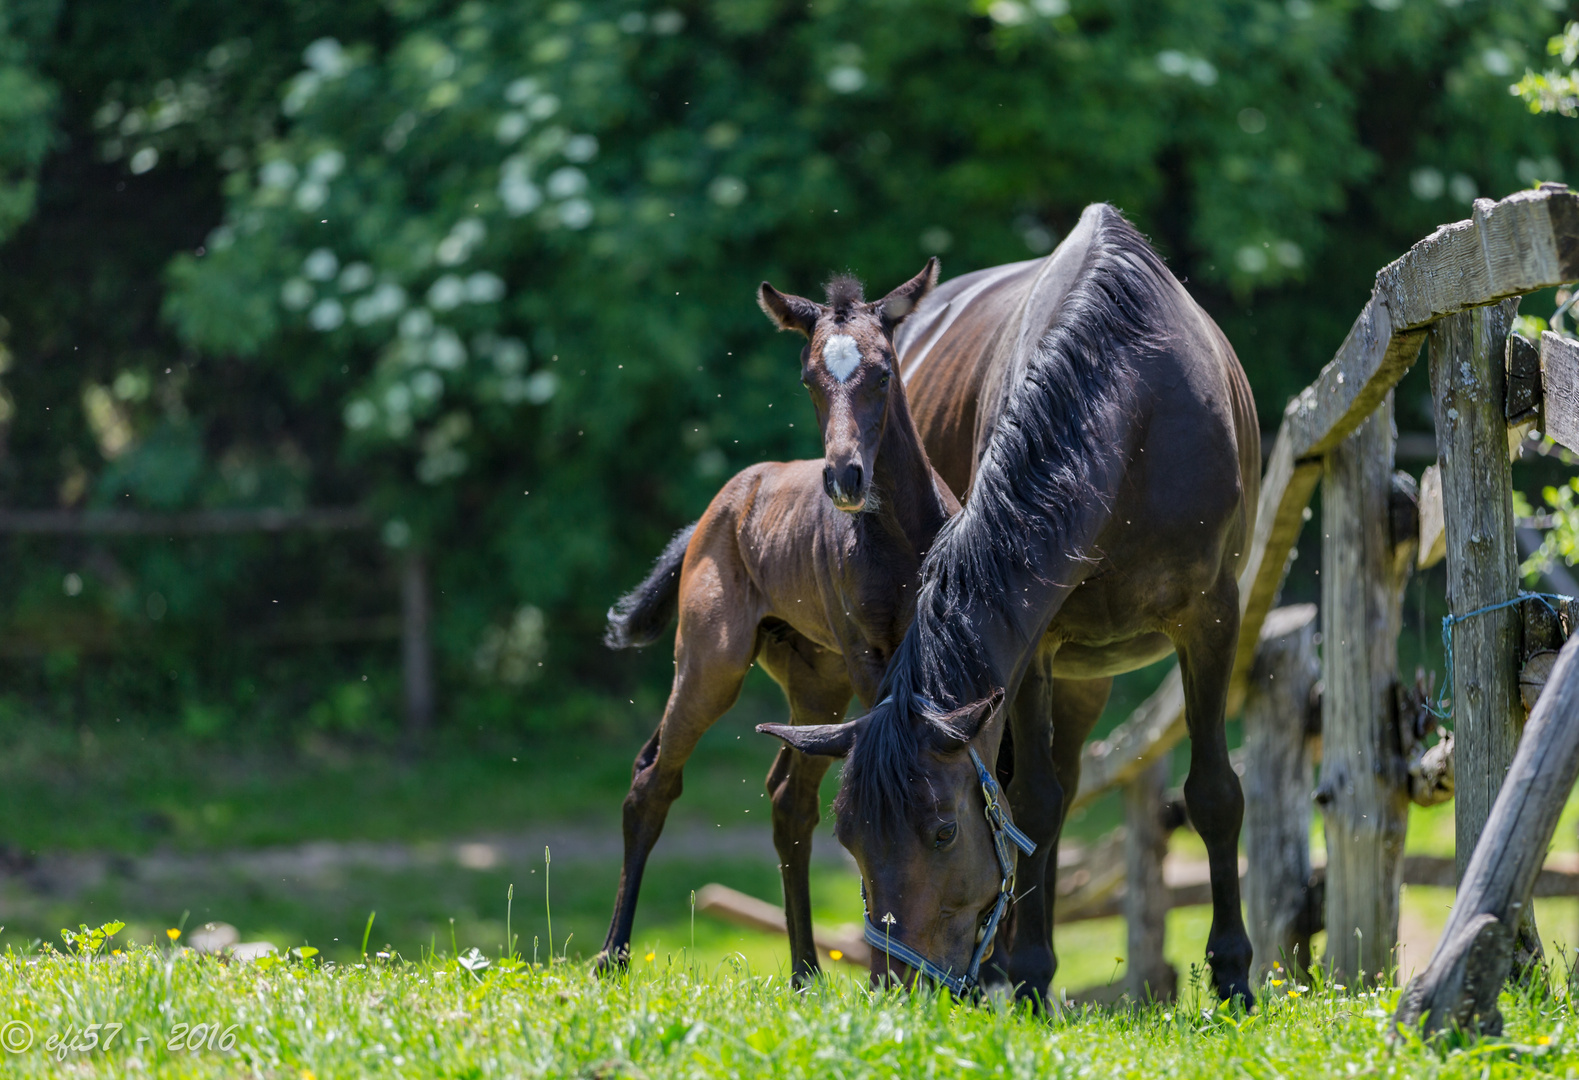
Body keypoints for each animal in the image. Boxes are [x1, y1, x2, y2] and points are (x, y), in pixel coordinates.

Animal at [596, 257, 953, 985]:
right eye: (809, 379)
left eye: (883, 372)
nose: (845, 478)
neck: (901, 539)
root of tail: (720, 504)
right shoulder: (870, 658)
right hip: (712, 662)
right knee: (653, 779)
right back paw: (613, 956)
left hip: (817, 683)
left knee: (790, 799)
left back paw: (806, 972)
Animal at [757, 205, 1263, 1004]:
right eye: (853, 839)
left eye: (942, 832)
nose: (903, 984)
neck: (1133, 405)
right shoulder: (1035, 647)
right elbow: (1031, 805)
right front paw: (1026, 975)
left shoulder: (1211, 620)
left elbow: (1213, 792)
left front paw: (1234, 977)